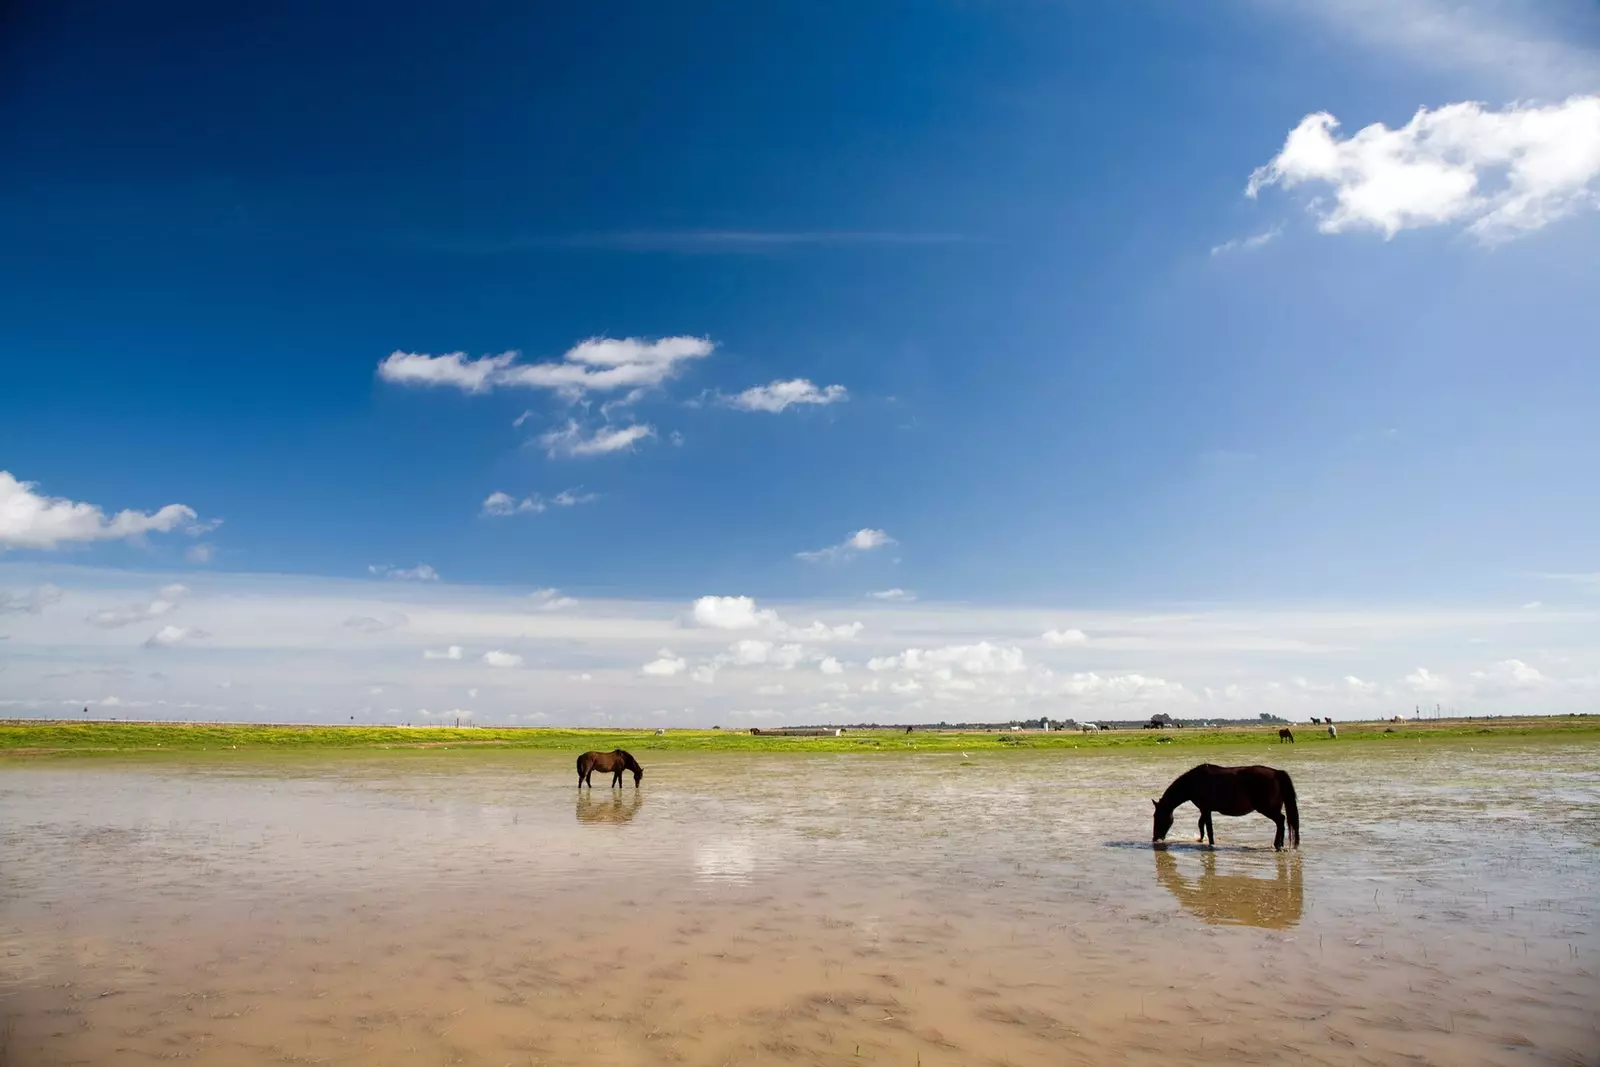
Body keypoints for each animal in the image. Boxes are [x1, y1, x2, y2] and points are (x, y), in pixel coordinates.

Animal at [1164, 764, 1299, 857]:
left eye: (1159, 817)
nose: (1158, 837)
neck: (1193, 782)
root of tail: (1277, 773)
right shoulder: (1205, 809)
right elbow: (1201, 824)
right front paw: (1201, 839)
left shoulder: (1206, 809)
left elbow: (1208, 827)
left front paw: (1210, 844)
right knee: (1281, 822)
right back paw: (1281, 844)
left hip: (1266, 808)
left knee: (1280, 820)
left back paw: (1278, 845)